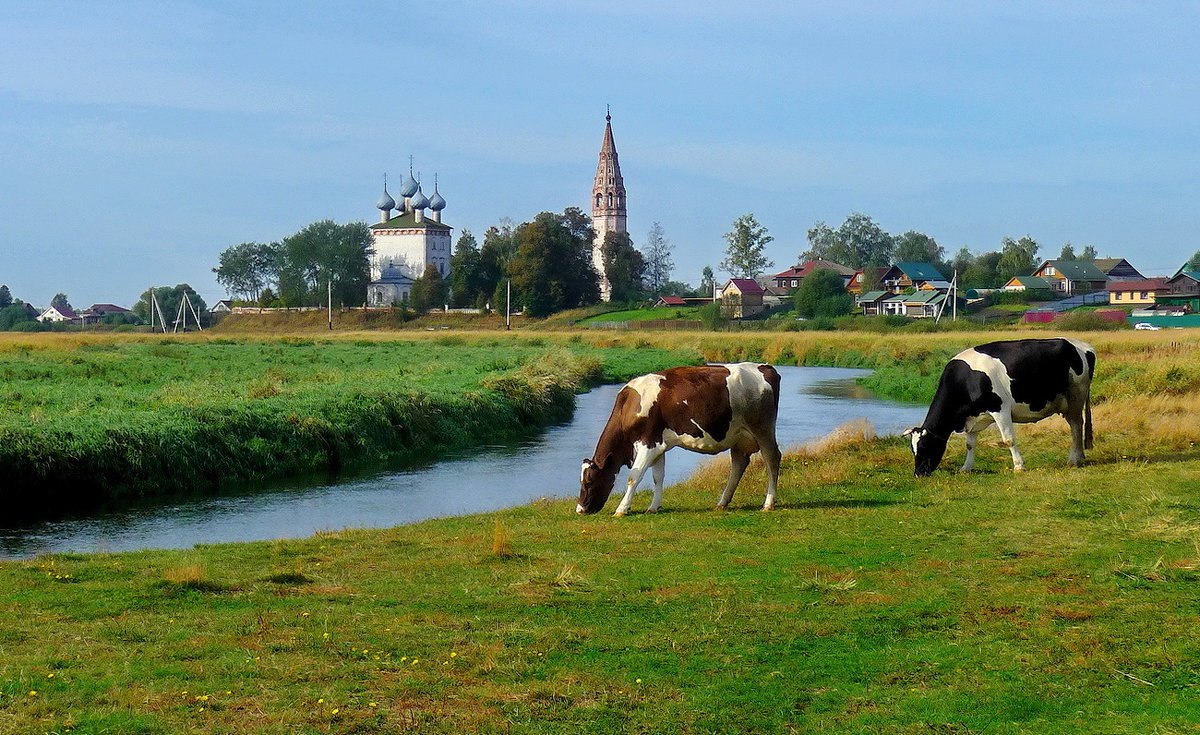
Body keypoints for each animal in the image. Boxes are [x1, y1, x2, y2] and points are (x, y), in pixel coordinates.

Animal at [576, 362, 782, 516]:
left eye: (589, 481)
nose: (580, 510)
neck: (629, 404)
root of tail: (765, 367)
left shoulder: (647, 443)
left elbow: (634, 477)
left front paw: (622, 509)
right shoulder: (658, 445)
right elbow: (658, 477)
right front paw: (653, 507)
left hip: (762, 429)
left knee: (772, 459)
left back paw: (768, 503)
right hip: (738, 436)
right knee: (738, 464)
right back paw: (722, 503)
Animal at [902, 338, 1099, 475]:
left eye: (925, 446)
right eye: (912, 449)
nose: (918, 473)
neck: (965, 380)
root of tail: (1083, 346)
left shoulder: (1000, 409)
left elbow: (1008, 439)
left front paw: (1019, 466)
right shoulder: (973, 417)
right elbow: (970, 444)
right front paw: (966, 468)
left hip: (1076, 395)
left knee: (1076, 426)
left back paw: (1074, 460)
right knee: (1076, 425)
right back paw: (1080, 457)